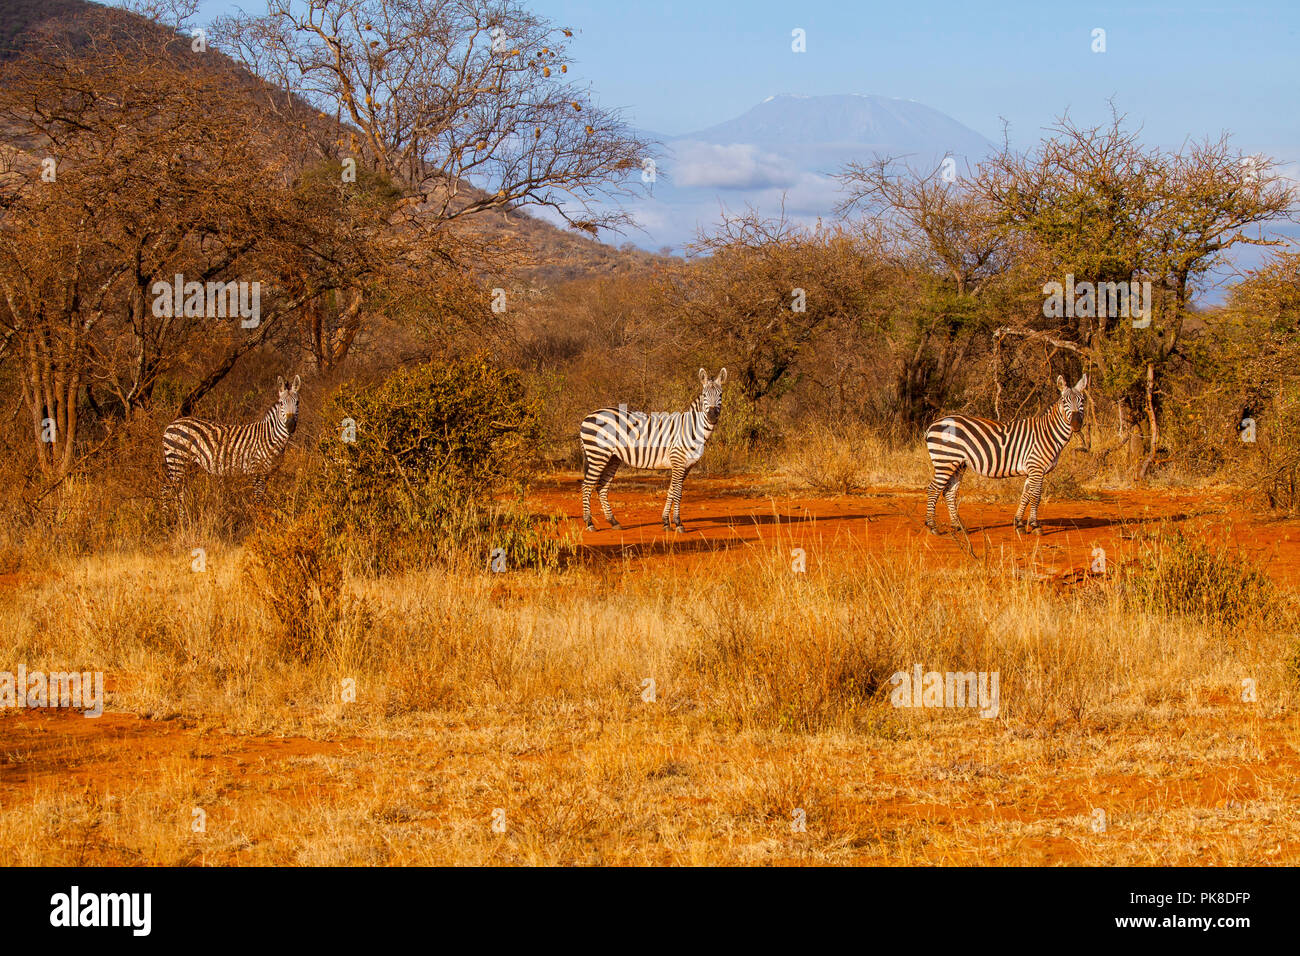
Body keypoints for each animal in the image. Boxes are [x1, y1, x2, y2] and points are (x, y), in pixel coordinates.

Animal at [162, 374, 301, 504]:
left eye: (297, 403)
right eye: (281, 403)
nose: (290, 425)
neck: (271, 436)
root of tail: (171, 424)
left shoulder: (268, 472)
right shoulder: (257, 469)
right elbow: (258, 498)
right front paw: (257, 514)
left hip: (190, 465)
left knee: (179, 491)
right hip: (177, 460)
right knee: (167, 489)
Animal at [582, 369, 728, 530]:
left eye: (720, 394)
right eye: (704, 395)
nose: (712, 416)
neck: (692, 429)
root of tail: (589, 415)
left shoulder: (686, 466)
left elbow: (672, 491)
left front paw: (666, 522)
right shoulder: (678, 460)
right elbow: (677, 493)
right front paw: (678, 523)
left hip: (612, 458)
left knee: (601, 487)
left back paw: (613, 521)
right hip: (598, 454)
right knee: (587, 486)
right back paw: (589, 523)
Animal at [925, 374, 1086, 538]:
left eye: (1082, 400)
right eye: (1064, 401)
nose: (1076, 424)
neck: (1048, 433)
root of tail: (933, 425)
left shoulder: (1031, 470)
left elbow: (1025, 496)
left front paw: (1019, 524)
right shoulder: (1036, 467)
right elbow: (1035, 496)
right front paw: (1035, 526)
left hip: (958, 464)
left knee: (949, 492)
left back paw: (958, 526)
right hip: (945, 460)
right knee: (933, 489)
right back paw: (932, 526)